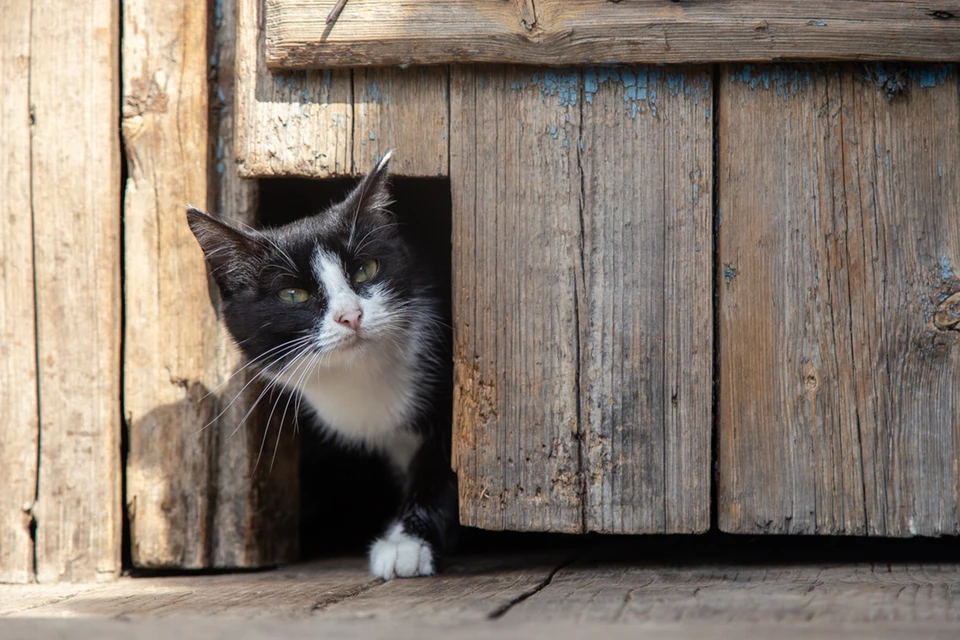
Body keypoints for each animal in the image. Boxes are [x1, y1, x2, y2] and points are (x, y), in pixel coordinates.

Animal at [189, 152, 460, 576]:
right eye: (292, 294)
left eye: (366, 269)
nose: (351, 316)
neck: (360, 380)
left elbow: (447, 463)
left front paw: (407, 542)